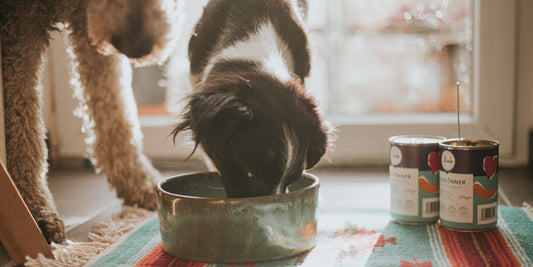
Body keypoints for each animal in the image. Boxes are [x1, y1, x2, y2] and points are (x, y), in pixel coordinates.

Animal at [1, 0, 182, 243]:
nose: (135, 47)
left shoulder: (89, 28)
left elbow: (115, 113)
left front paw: (139, 184)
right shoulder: (19, 28)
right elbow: (24, 128)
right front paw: (33, 209)